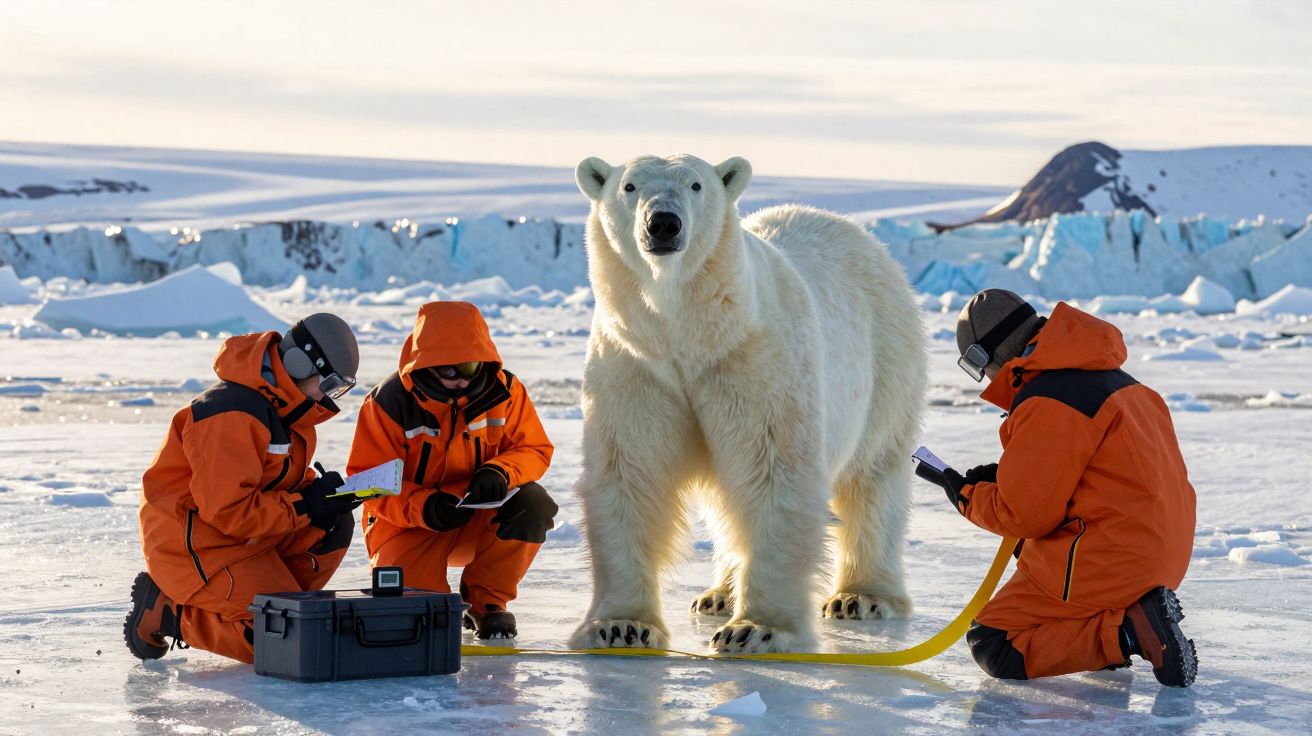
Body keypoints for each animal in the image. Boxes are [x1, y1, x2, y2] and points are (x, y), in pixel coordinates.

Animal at [567, 154, 927, 654]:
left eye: (696, 184)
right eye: (630, 186)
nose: (663, 224)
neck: (689, 334)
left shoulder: (755, 363)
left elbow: (770, 472)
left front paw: (757, 629)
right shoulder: (636, 363)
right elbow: (631, 471)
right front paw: (619, 626)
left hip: (887, 357)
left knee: (872, 475)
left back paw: (862, 596)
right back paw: (717, 594)